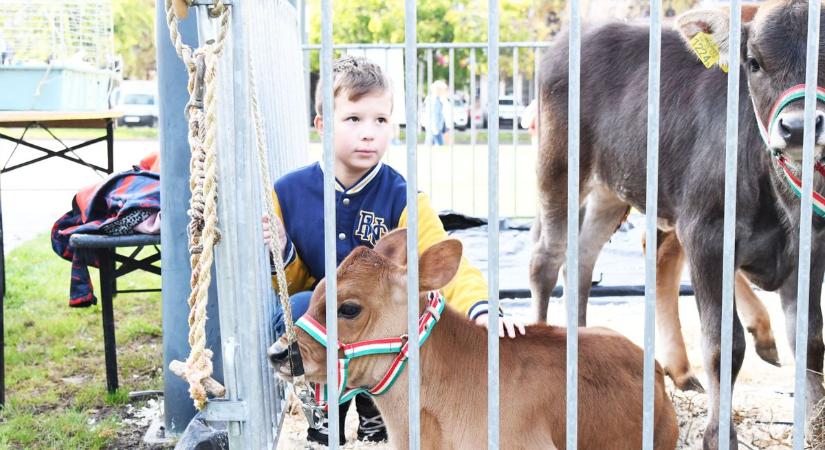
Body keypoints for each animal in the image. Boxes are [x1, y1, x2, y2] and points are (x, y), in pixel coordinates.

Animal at [528, 1, 824, 448]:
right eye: (753, 62)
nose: (799, 128)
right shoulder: (706, 236)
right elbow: (723, 345)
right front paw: (719, 435)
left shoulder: (812, 249)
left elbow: (810, 340)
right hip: (558, 167)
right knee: (546, 261)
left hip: (612, 189)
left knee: (581, 259)